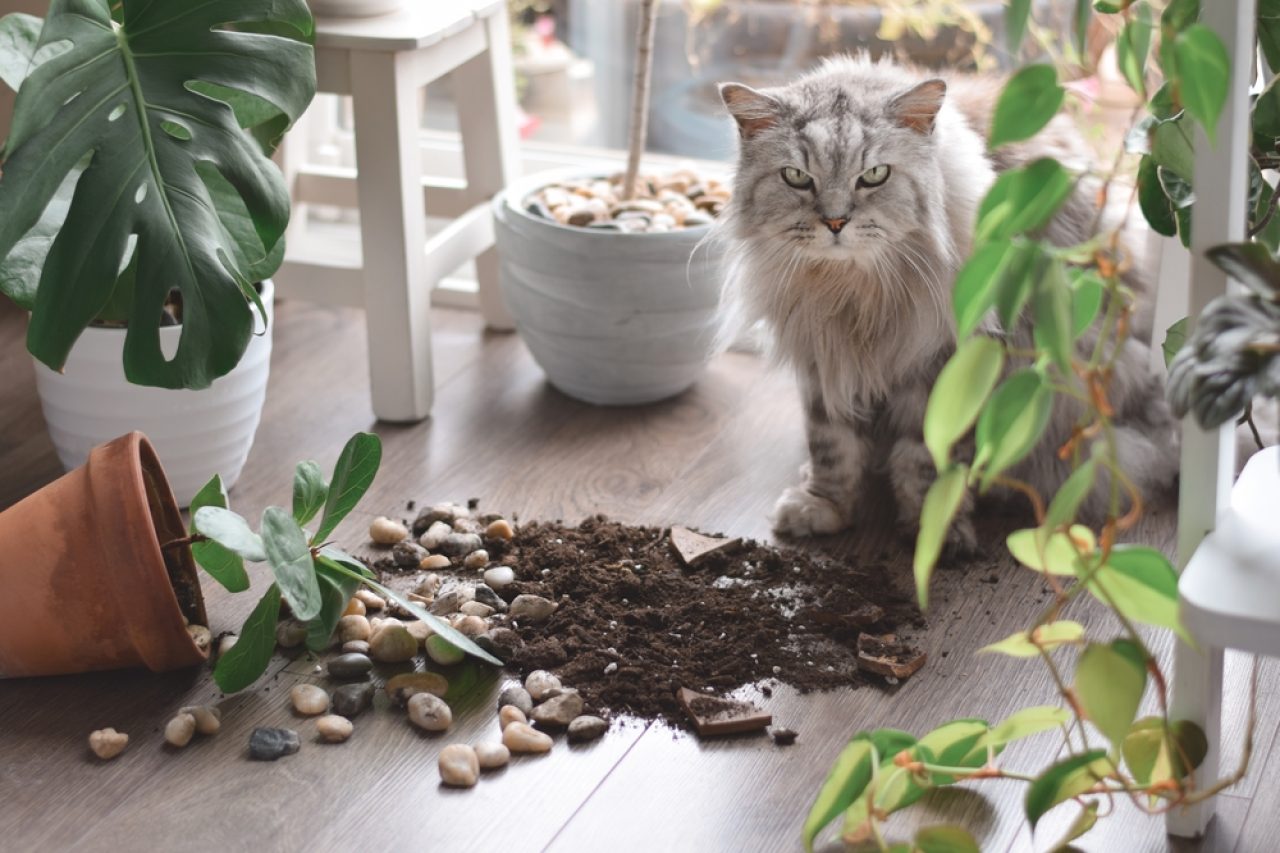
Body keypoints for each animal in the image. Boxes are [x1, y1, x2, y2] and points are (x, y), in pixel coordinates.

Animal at [716, 54, 1172, 545]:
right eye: (797, 178)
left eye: (874, 175)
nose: (835, 222)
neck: (856, 294)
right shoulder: (821, 355)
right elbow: (832, 447)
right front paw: (822, 507)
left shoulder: (945, 363)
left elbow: (926, 456)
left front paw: (933, 528)